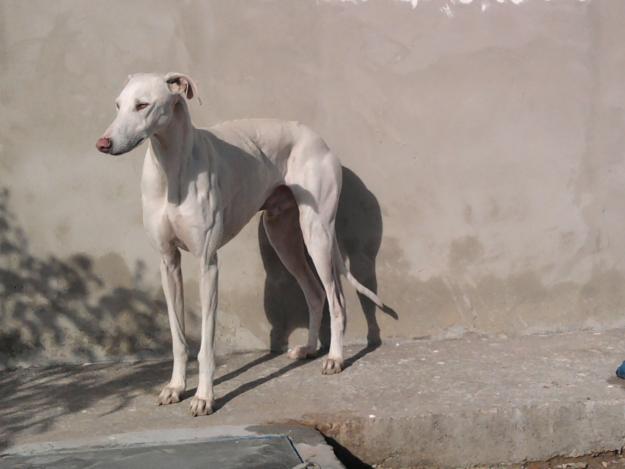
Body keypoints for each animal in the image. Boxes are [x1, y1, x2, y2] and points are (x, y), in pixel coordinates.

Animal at [96, 71, 386, 414]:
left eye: (142, 105)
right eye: (118, 105)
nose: (103, 143)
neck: (171, 168)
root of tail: (319, 139)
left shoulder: (208, 264)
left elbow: (206, 344)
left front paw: (204, 396)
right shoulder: (168, 263)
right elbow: (178, 338)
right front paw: (176, 387)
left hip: (317, 234)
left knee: (337, 299)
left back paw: (335, 358)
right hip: (282, 237)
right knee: (315, 294)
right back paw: (310, 348)